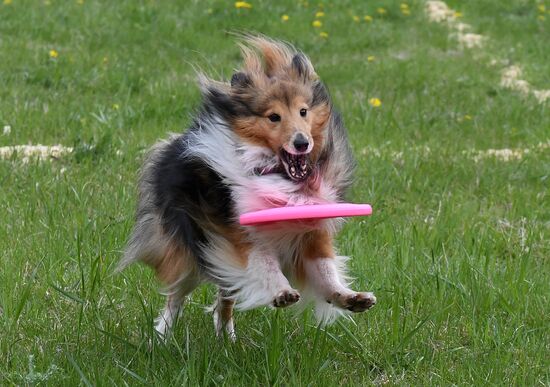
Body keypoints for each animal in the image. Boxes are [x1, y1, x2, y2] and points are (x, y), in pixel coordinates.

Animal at [121, 36, 378, 340]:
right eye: (274, 117)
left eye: (303, 111)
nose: (302, 143)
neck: (280, 177)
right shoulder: (239, 235)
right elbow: (263, 264)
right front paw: (282, 292)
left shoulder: (311, 234)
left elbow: (325, 269)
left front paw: (351, 297)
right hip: (191, 250)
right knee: (176, 295)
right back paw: (162, 337)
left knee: (225, 297)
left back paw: (226, 337)